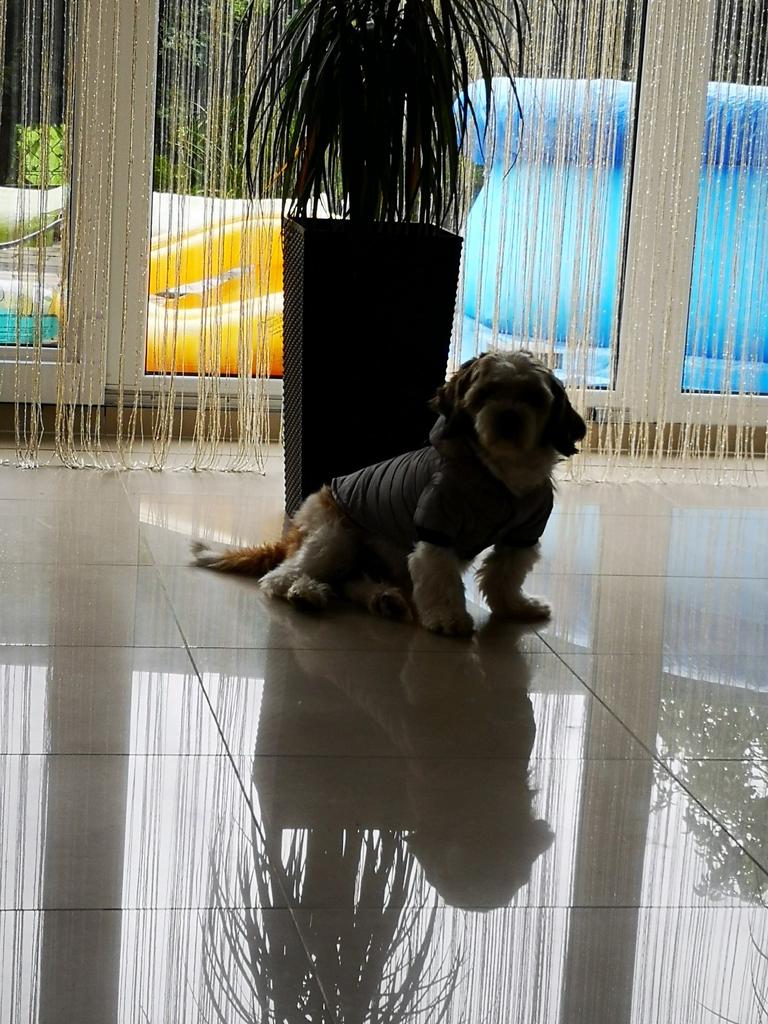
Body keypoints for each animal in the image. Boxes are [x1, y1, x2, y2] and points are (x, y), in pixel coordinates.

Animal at [193, 350, 586, 635]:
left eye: (534, 398)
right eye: (485, 395)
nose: (508, 417)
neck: (499, 475)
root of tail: (293, 532)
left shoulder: (523, 534)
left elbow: (505, 575)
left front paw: (515, 607)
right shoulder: (436, 525)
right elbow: (440, 577)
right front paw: (448, 618)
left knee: (351, 581)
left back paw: (383, 600)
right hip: (336, 537)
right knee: (280, 577)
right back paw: (306, 592)